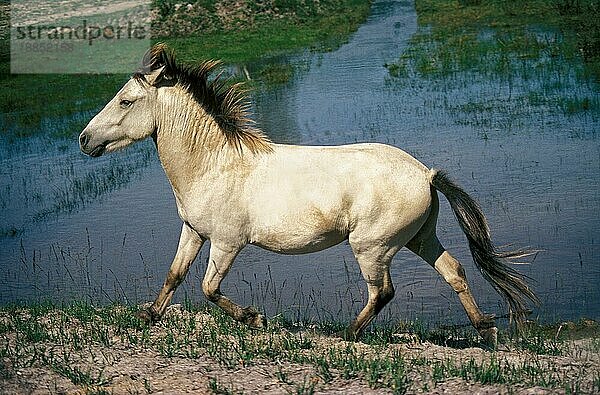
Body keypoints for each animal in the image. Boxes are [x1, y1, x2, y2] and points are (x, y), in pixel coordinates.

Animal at [81, 42, 540, 346]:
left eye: (125, 101)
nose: (84, 140)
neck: (216, 164)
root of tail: (426, 174)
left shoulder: (227, 242)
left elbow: (209, 288)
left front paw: (254, 319)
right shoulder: (194, 231)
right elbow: (174, 275)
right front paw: (150, 315)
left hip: (372, 246)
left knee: (383, 292)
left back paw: (349, 334)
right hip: (418, 238)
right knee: (454, 271)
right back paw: (486, 329)